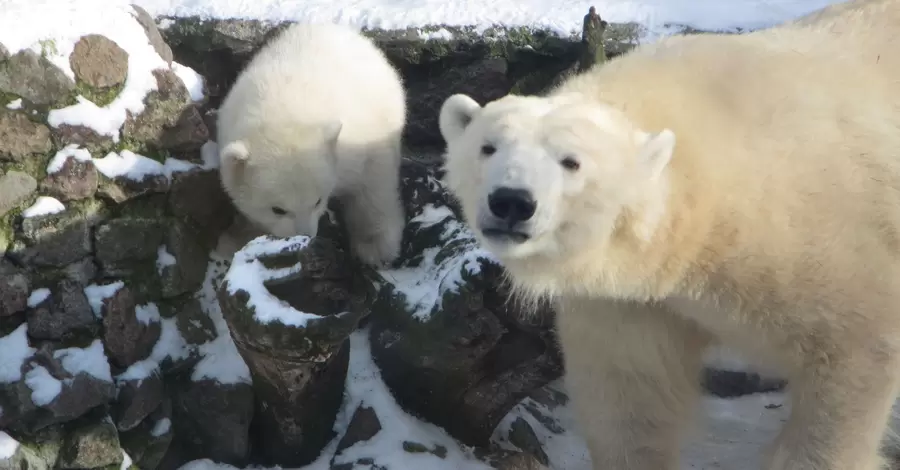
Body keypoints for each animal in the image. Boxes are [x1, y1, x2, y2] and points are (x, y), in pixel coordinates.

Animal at [216, 22, 406, 266]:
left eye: (317, 201)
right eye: (277, 209)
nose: (305, 236)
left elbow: (372, 183)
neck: (283, 111)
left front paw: (375, 246)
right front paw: (234, 240)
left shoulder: (358, 144)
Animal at [440, 1, 900, 468]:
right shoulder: (633, 301)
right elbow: (630, 398)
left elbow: (853, 353)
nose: (512, 202)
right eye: (488, 147)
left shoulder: (817, 243)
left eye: (571, 161)